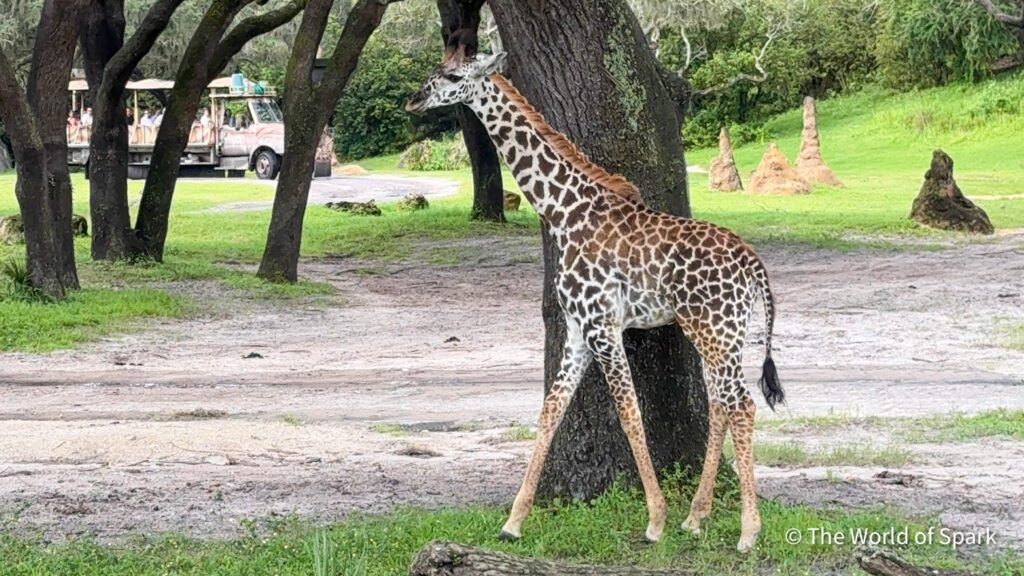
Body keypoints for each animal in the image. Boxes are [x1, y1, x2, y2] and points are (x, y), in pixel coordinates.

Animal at [405, 42, 784, 553]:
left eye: (451, 75)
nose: (413, 101)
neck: (563, 211)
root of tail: (754, 265)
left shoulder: (603, 325)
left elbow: (629, 414)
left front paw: (655, 521)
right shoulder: (577, 330)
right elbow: (550, 410)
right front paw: (513, 522)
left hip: (714, 328)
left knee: (740, 404)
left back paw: (747, 531)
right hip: (719, 331)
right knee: (721, 404)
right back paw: (697, 517)